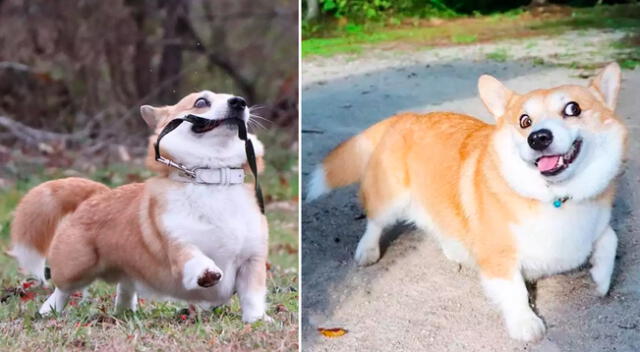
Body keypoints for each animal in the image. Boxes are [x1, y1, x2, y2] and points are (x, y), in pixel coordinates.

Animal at [10, 92, 272, 324]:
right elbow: (193, 256)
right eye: (201, 102)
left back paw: (126, 311)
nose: (239, 102)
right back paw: (48, 311)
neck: (213, 179)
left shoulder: (252, 261)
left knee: (125, 286)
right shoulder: (177, 243)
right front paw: (206, 272)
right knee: (62, 290)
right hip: (77, 266)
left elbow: (252, 296)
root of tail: (98, 193)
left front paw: (257, 320)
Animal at [308, 63, 628, 340]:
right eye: (524, 121)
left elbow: (610, 238)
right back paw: (368, 251)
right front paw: (526, 324)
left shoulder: (597, 222)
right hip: (392, 198)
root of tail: (407, 117)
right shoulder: (499, 257)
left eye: (573, 109)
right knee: (374, 221)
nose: (538, 138)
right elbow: (514, 290)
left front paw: (601, 279)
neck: (555, 198)